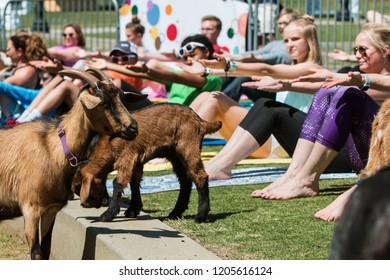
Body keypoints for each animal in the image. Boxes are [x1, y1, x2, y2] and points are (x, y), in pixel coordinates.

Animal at [0, 68, 142, 260]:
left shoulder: (51, 209)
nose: (133, 128)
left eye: (121, 98)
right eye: (103, 102)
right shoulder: (31, 208)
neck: (54, 149)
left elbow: (46, 249)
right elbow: (36, 253)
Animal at [71, 103, 221, 223]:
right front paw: (133, 210)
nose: (88, 205)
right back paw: (175, 213)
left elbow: (118, 183)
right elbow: (134, 182)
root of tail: (200, 121)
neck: (109, 142)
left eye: (80, 189)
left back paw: (200, 216)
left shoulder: (128, 157)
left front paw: (108, 214)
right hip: (175, 155)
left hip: (188, 146)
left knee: (200, 175)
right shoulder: (136, 161)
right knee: (185, 180)